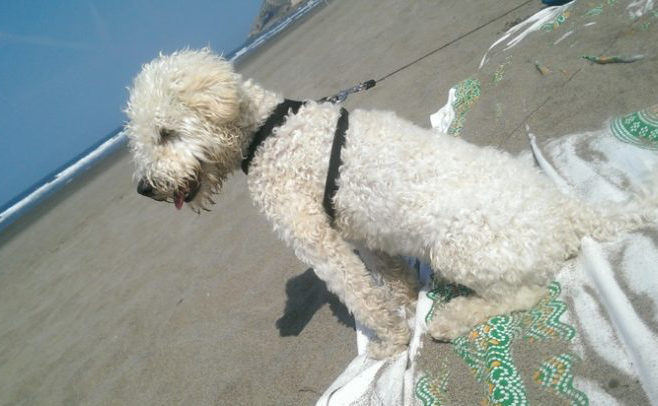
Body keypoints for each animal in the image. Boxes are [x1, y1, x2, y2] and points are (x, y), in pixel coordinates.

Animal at [123, 50, 652, 358]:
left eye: (165, 133)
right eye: (140, 136)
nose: (145, 188)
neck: (272, 132)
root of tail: (565, 210)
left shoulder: (317, 240)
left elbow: (359, 294)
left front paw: (390, 343)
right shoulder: (363, 231)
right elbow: (389, 279)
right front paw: (405, 306)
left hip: (460, 248)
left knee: (525, 293)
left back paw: (453, 318)